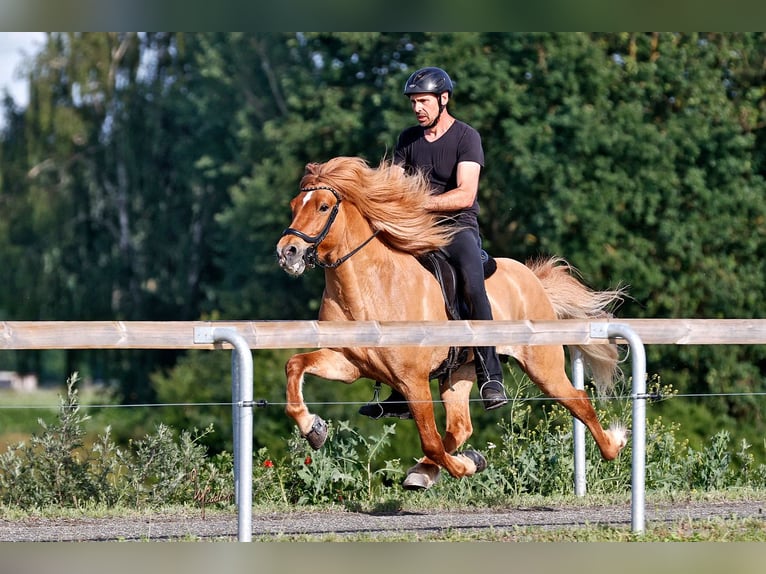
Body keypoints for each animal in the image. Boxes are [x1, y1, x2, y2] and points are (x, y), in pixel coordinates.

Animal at [276, 156, 628, 489]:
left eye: (323, 206)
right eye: (294, 205)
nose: (287, 253)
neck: (367, 289)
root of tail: (533, 280)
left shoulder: (412, 380)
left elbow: (429, 440)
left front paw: (466, 467)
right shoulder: (349, 364)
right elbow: (295, 366)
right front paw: (313, 428)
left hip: (543, 366)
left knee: (579, 401)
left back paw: (615, 444)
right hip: (459, 371)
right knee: (460, 428)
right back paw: (434, 469)